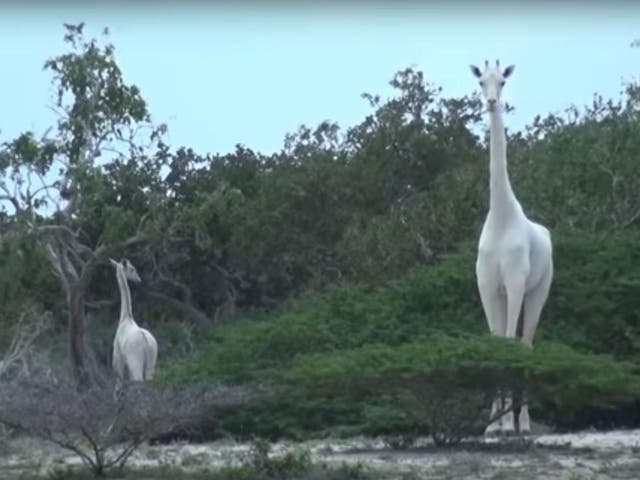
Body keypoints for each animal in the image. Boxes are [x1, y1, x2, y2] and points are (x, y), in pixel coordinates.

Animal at [110, 256, 158, 384]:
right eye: (132, 269)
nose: (138, 279)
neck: (125, 318)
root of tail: (147, 343)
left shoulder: (118, 359)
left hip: (135, 362)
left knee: (138, 380)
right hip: (151, 364)